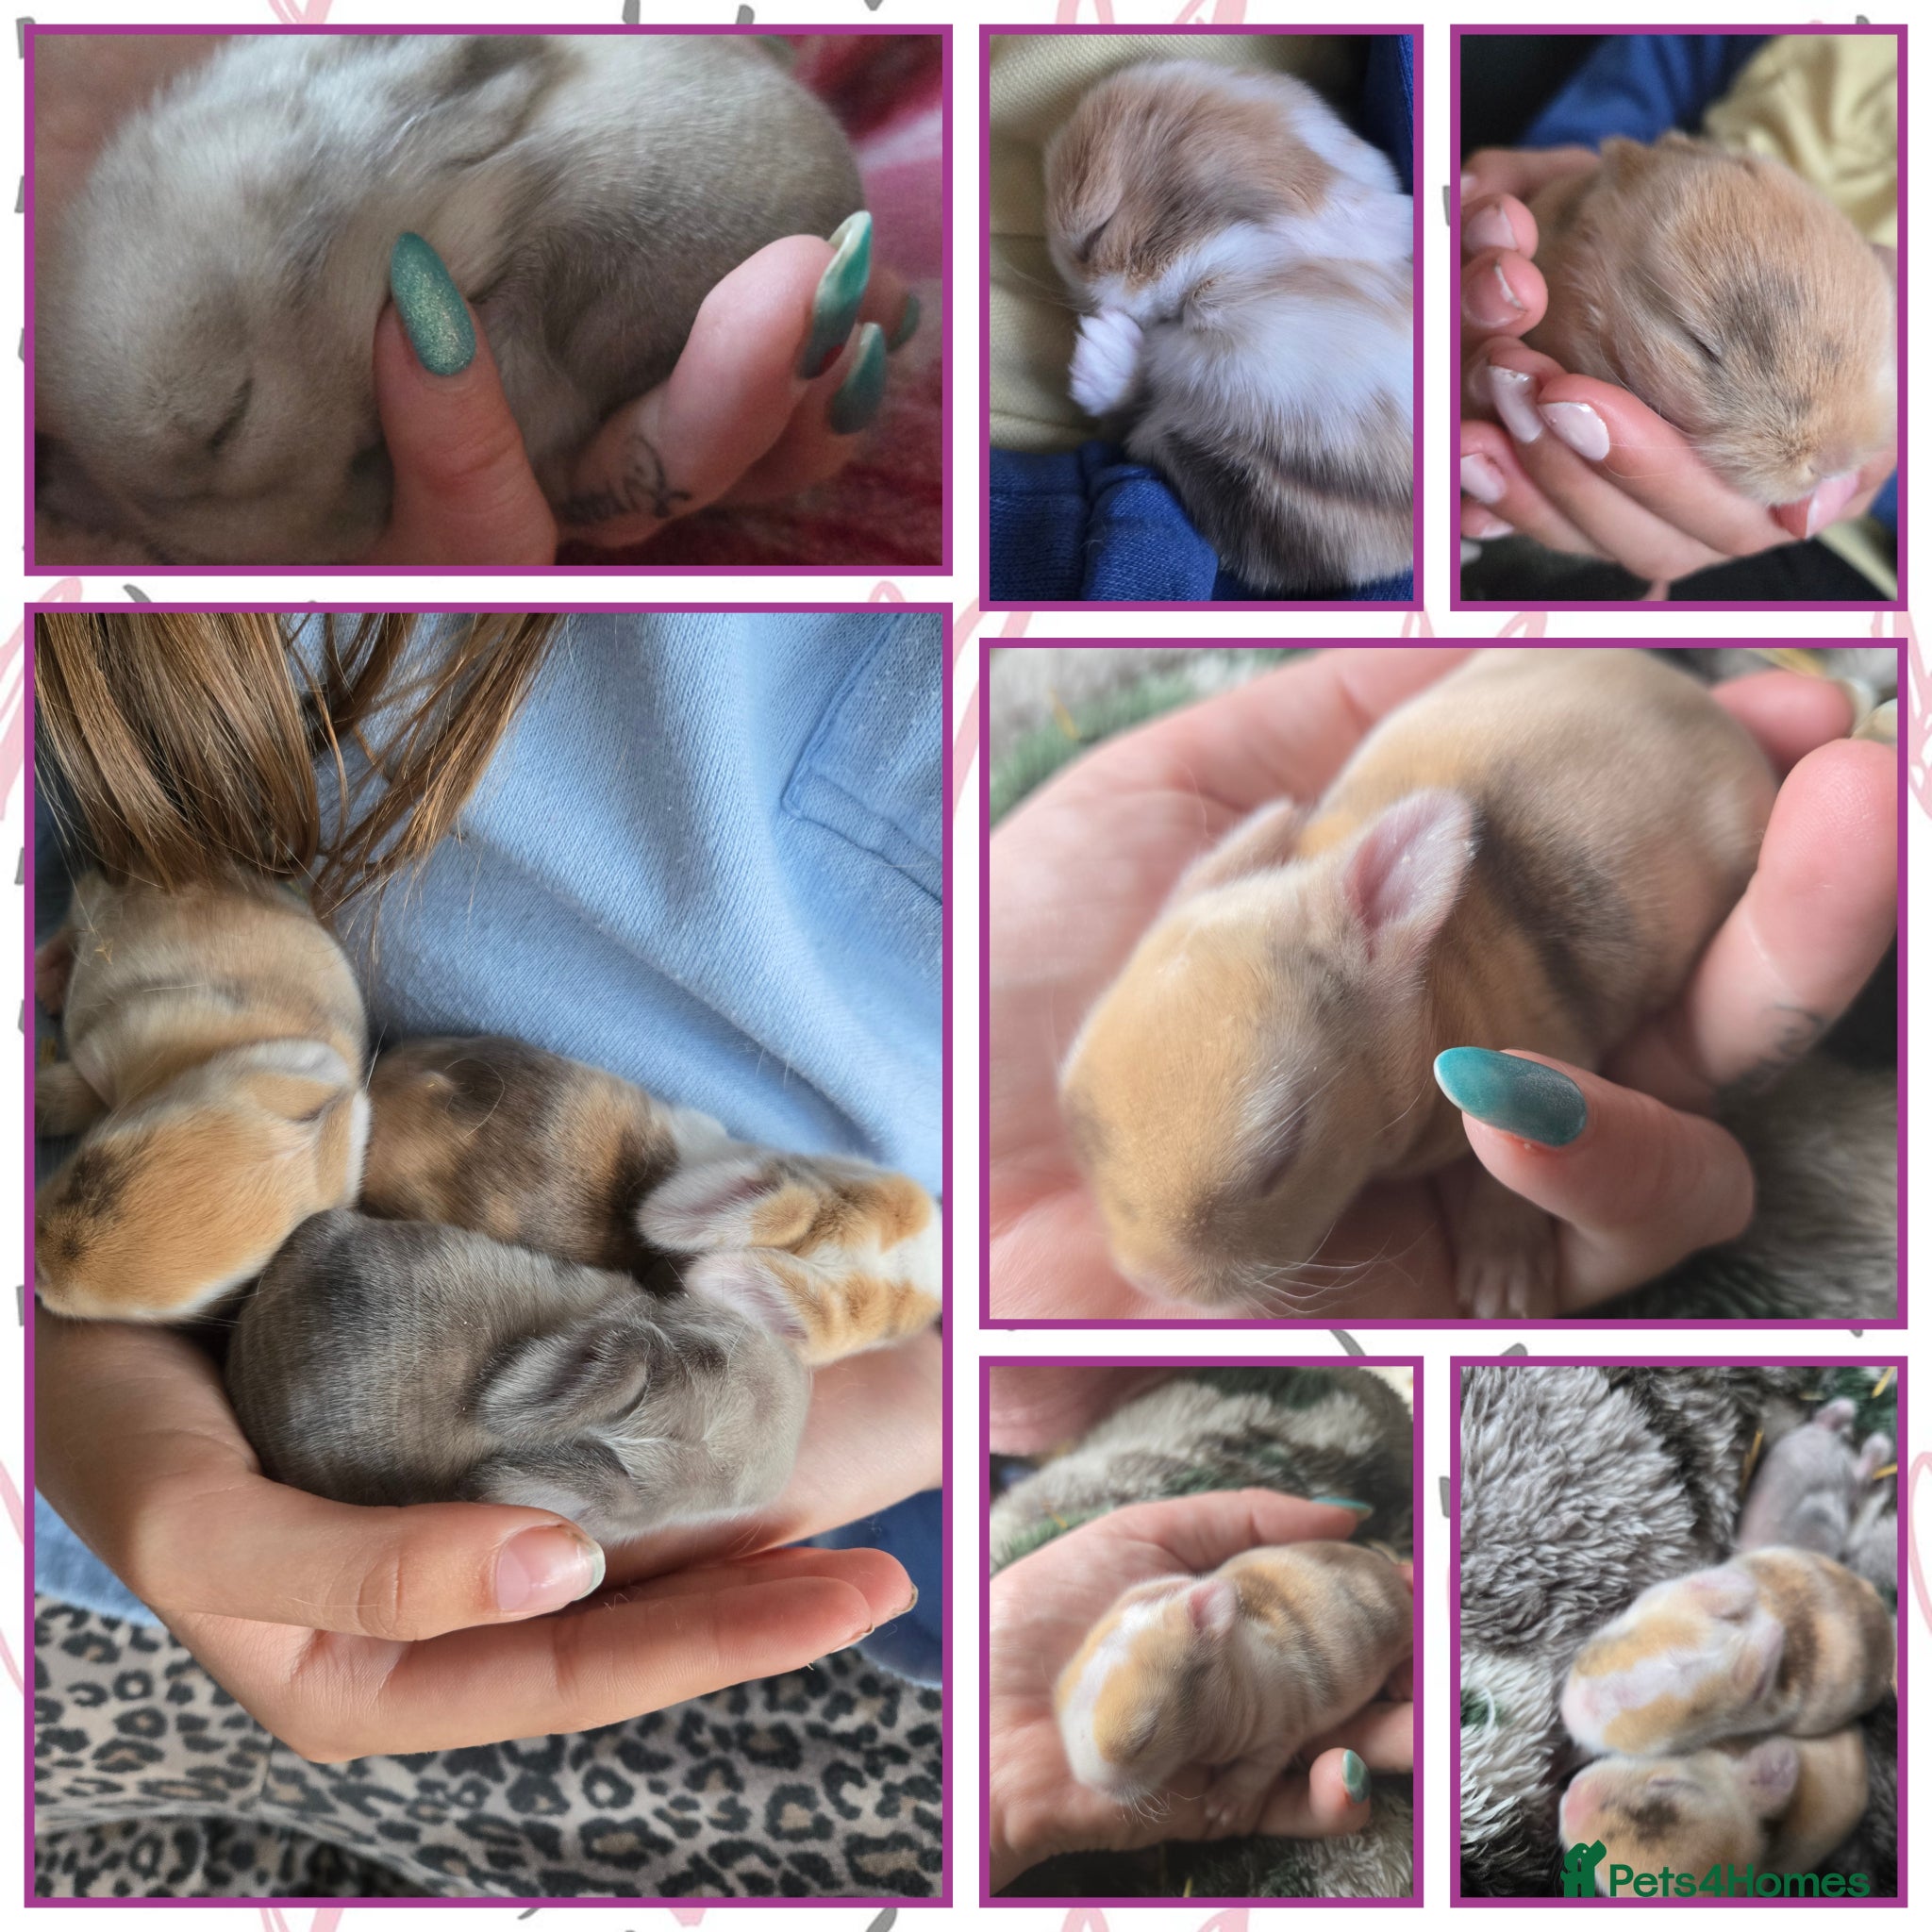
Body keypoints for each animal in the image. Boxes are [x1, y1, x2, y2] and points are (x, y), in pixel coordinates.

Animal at [1054, 1540, 1410, 1826]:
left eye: (1145, 1736)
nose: (1091, 1786)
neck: (1233, 1666)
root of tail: (1386, 1569)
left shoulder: (1281, 1727)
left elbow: (1256, 1766)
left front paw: (1222, 1804)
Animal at [1059, 648, 1774, 1319]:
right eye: (1078, 1123)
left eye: (1282, 1156)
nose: (1157, 1282)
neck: (1436, 984)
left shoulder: (1544, 1059)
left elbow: (1505, 1174)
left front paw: (1503, 1280)